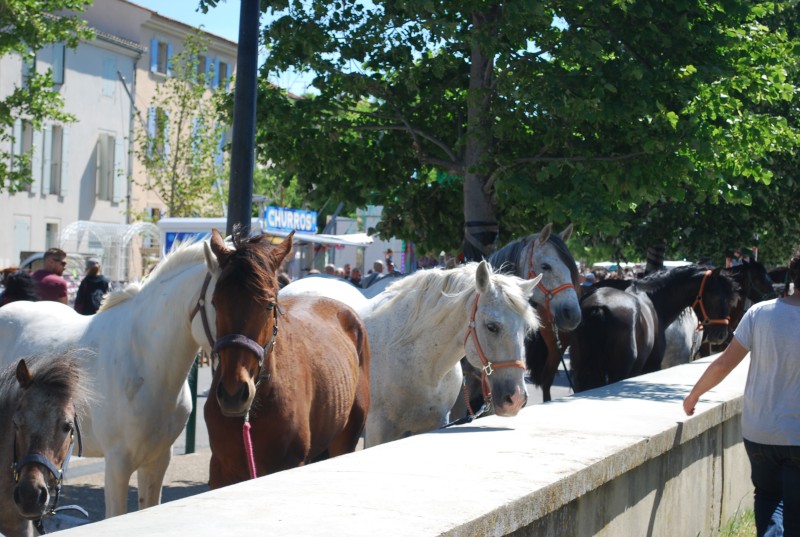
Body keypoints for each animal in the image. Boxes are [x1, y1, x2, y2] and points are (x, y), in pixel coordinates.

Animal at [203, 228, 372, 488]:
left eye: (269, 304)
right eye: (215, 302)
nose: (233, 393)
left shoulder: (287, 465)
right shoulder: (221, 470)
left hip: (346, 438)